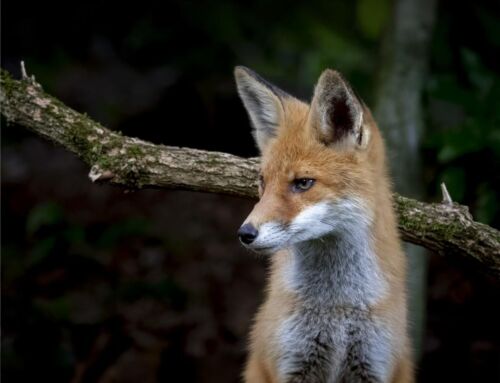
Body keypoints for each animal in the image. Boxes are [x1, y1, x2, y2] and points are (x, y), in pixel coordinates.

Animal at [234, 67, 414, 382]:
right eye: (263, 182)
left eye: (303, 183)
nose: (245, 233)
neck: (337, 307)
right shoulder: (292, 362)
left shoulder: (374, 364)